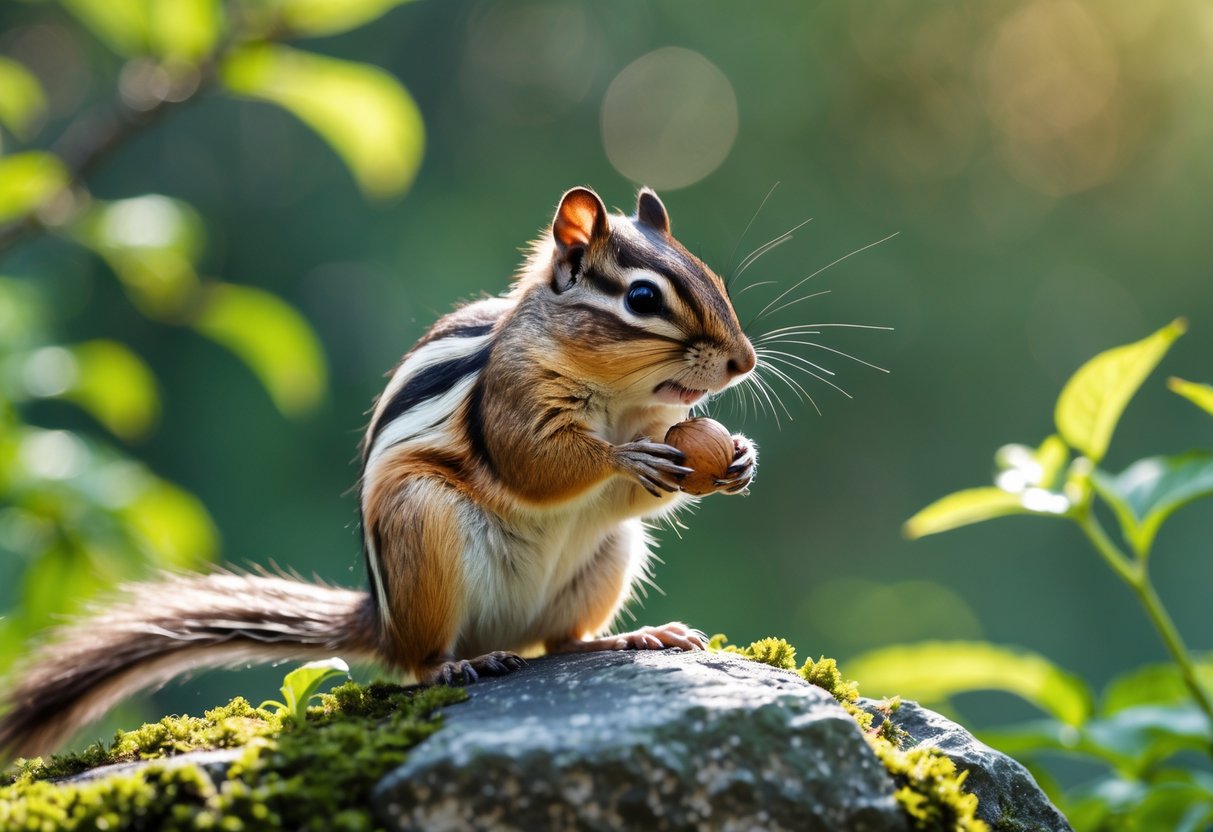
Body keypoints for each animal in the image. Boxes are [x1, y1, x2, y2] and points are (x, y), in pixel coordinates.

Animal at [0, 186, 758, 759]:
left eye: (714, 280)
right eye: (641, 299)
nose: (743, 362)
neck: (623, 403)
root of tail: (384, 624)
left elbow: (643, 491)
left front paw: (740, 458)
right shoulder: (510, 398)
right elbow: (535, 464)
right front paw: (620, 457)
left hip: (605, 558)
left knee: (563, 640)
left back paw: (634, 636)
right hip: (423, 526)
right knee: (422, 662)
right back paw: (457, 663)